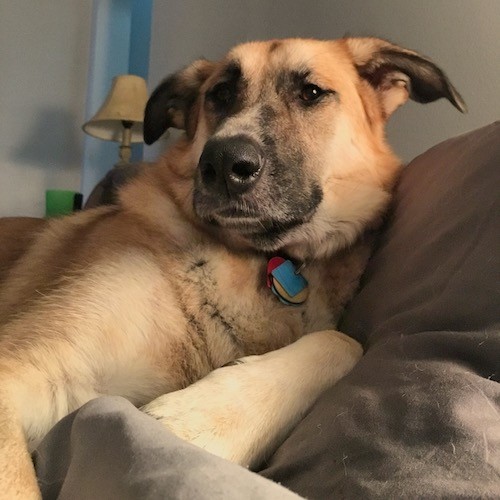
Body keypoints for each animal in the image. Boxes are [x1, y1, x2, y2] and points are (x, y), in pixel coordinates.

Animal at [0, 37, 464, 498]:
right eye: (219, 94)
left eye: (311, 92)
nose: (222, 163)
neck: (267, 258)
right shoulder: (19, 376)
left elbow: (345, 341)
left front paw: (204, 417)